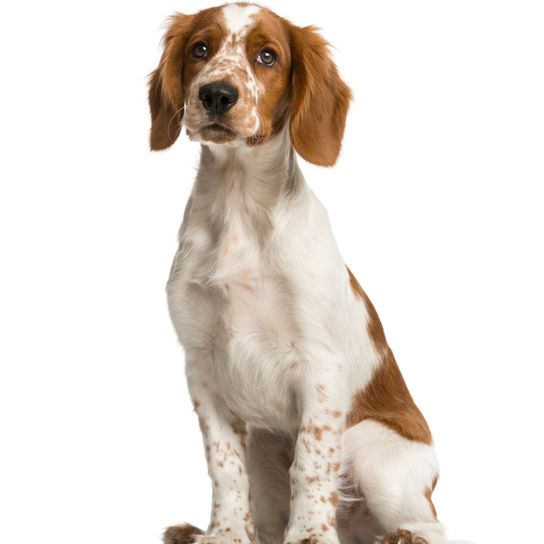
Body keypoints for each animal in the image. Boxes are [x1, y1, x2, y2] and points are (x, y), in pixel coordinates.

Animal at [149, 4, 454, 544]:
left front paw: (310, 535)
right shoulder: (202, 364)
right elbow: (224, 465)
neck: (240, 204)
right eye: (200, 49)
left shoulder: (320, 366)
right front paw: (224, 534)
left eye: (268, 56)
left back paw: (400, 535)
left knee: (433, 523)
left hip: (372, 449)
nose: (216, 94)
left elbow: (310, 464)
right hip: (265, 443)